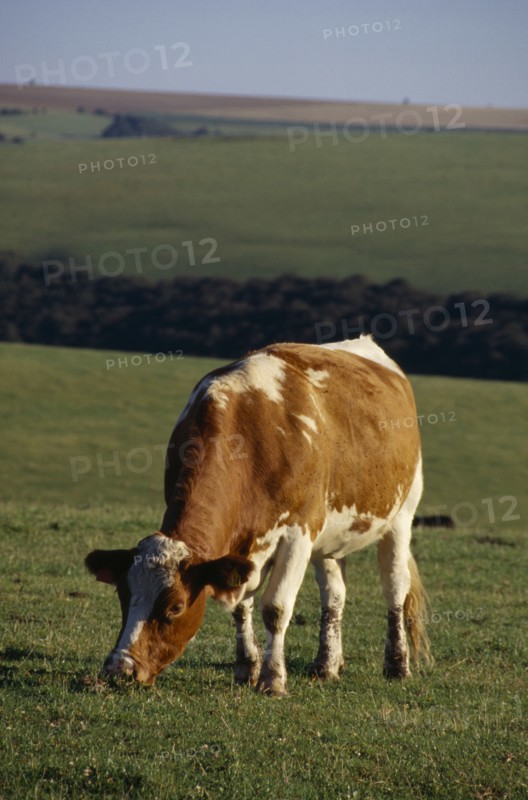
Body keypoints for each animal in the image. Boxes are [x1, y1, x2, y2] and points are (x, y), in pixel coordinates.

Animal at [85, 336, 431, 696]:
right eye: (124, 596)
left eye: (175, 606)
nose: (120, 669)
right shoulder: (240, 550)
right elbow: (241, 607)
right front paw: (245, 668)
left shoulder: (298, 534)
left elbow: (276, 608)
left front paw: (272, 679)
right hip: (331, 536)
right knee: (334, 595)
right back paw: (326, 665)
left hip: (401, 517)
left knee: (396, 588)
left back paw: (397, 664)